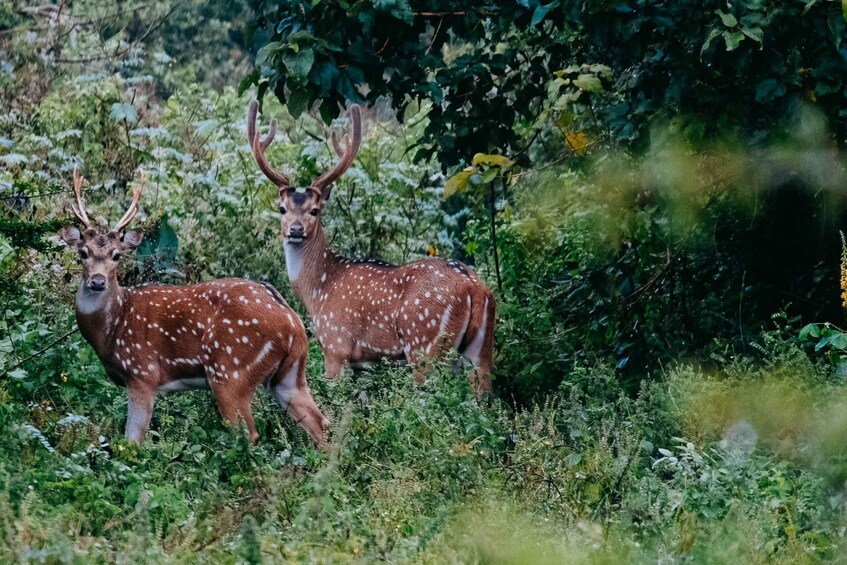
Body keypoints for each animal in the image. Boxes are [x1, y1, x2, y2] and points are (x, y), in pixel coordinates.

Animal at [59, 167, 330, 446]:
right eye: (83, 252)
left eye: (116, 255)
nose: (97, 281)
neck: (113, 328)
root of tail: (293, 322)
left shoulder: (143, 373)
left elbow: (133, 440)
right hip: (289, 375)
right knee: (321, 424)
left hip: (230, 372)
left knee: (248, 433)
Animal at [245, 101, 496, 392]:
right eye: (282, 209)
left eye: (315, 210)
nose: (295, 230)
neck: (318, 288)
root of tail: (475, 288)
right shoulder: (361, 363)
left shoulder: (335, 343)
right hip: (482, 348)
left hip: (424, 342)